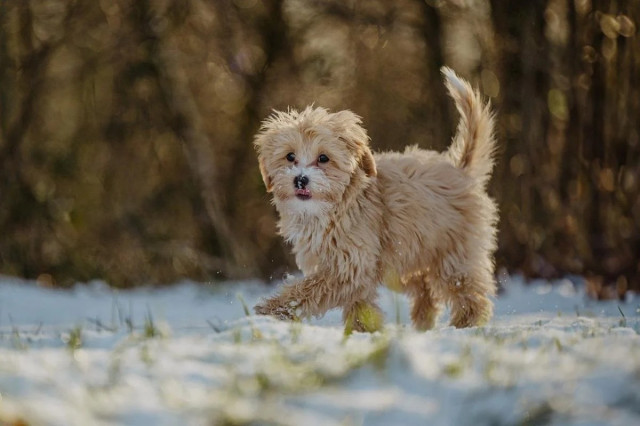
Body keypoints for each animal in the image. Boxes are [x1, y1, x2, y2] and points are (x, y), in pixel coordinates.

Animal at [252, 67, 498, 332]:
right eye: (290, 156)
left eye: (323, 158)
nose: (300, 180)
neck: (334, 208)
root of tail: (459, 169)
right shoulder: (354, 265)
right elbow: (359, 302)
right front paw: (363, 329)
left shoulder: (348, 266)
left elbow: (309, 289)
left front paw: (271, 310)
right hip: (404, 260)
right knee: (425, 289)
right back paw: (422, 324)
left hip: (454, 256)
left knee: (469, 294)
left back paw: (466, 324)